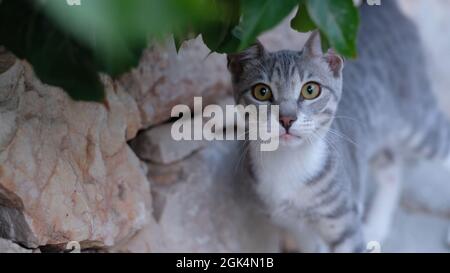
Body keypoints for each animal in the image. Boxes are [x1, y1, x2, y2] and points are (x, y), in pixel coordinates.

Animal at [227, 1, 450, 252]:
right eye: (261, 92)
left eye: (310, 90)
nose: (286, 119)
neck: (288, 163)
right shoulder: (295, 226)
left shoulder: (344, 222)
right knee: (392, 166)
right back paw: (376, 226)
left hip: (418, 120)